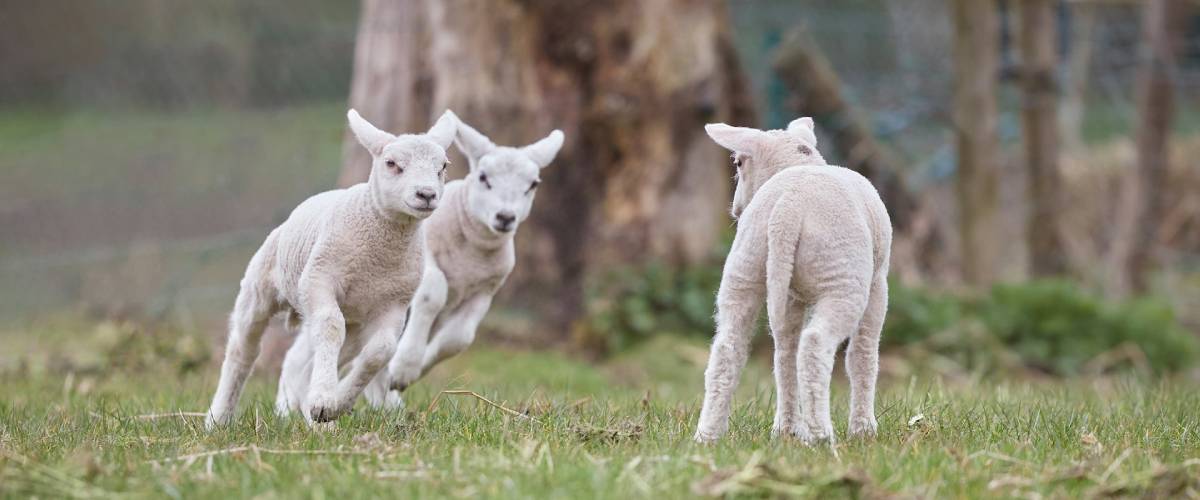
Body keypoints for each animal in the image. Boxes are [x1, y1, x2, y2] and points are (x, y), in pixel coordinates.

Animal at [205, 109, 457, 429]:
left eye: (443, 166)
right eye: (391, 163)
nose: (426, 194)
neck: (380, 254)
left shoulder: (394, 302)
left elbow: (381, 351)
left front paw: (335, 403)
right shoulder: (319, 280)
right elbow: (329, 326)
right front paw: (325, 400)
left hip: (356, 322)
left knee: (318, 360)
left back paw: (314, 415)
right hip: (259, 288)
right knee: (243, 350)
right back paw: (218, 417)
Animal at [359, 115, 564, 409]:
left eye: (533, 184)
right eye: (483, 177)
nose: (505, 217)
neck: (472, 253)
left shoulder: (486, 290)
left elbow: (460, 338)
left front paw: (413, 369)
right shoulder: (428, 260)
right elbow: (433, 294)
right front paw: (405, 366)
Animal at [693, 117, 892, 445]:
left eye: (738, 162)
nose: (735, 209)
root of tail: (787, 209)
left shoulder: (789, 294)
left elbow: (785, 353)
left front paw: (786, 428)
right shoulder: (878, 284)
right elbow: (863, 354)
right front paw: (864, 430)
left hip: (745, 264)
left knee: (729, 348)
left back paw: (708, 435)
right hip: (843, 276)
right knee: (814, 346)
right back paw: (822, 435)